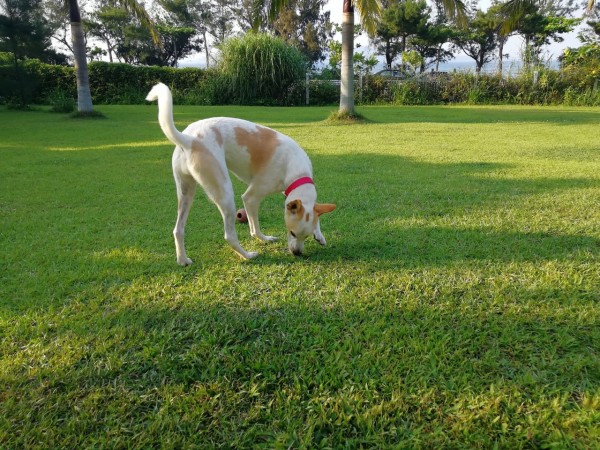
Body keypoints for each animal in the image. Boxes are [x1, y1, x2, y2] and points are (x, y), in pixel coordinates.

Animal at [144, 82, 336, 266]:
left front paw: (319, 235)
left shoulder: (289, 193)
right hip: (224, 191)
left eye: (306, 236)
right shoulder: (251, 198)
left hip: (186, 192)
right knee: (229, 235)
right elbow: (254, 226)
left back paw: (183, 260)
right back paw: (247, 255)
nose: (297, 253)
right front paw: (263, 238)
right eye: (292, 233)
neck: (297, 171)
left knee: (178, 230)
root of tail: (189, 140)